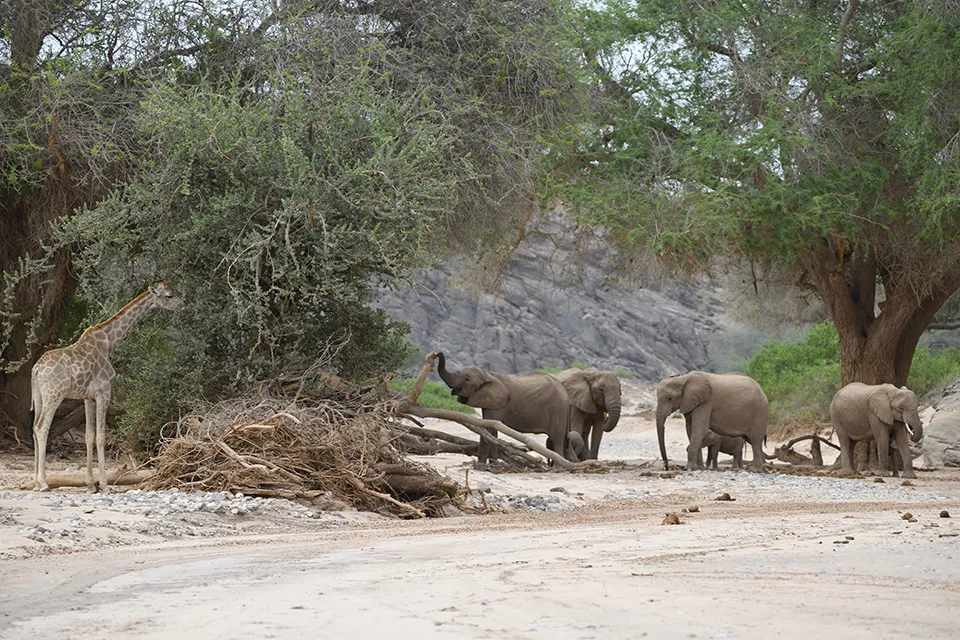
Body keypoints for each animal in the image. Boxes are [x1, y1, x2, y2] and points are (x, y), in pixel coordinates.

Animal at [29, 283, 182, 492]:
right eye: (169, 295)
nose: (182, 305)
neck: (110, 342)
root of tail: (36, 369)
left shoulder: (87, 398)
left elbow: (89, 435)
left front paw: (90, 485)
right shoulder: (104, 392)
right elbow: (101, 436)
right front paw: (104, 485)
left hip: (39, 396)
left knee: (34, 428)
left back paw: (37, 483)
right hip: (54, 395)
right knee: (42, 427)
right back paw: (43, 483)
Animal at [436, 352, 576, 464]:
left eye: (466, 379)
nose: (437, 354)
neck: (487, 374)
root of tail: (566, 395)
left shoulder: (500, 403)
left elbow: (489, 429)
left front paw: (480, 466)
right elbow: (492, 430)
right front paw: (494, 464)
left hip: (557, 409)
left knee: (557, 440)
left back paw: (559, 467)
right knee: (564, 442)